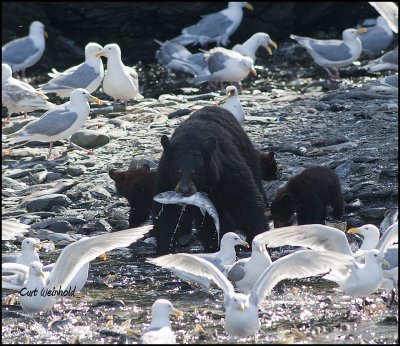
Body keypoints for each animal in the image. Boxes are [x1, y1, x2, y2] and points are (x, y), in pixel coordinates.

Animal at [152, 105, 268, 254]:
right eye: (177, 172)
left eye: (195, 173)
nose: (184, 189)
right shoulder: (164, 180)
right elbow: (166, 214)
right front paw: (164, 248)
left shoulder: (228, 172)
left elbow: (245, 200)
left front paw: (259, 236)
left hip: (248, 155)